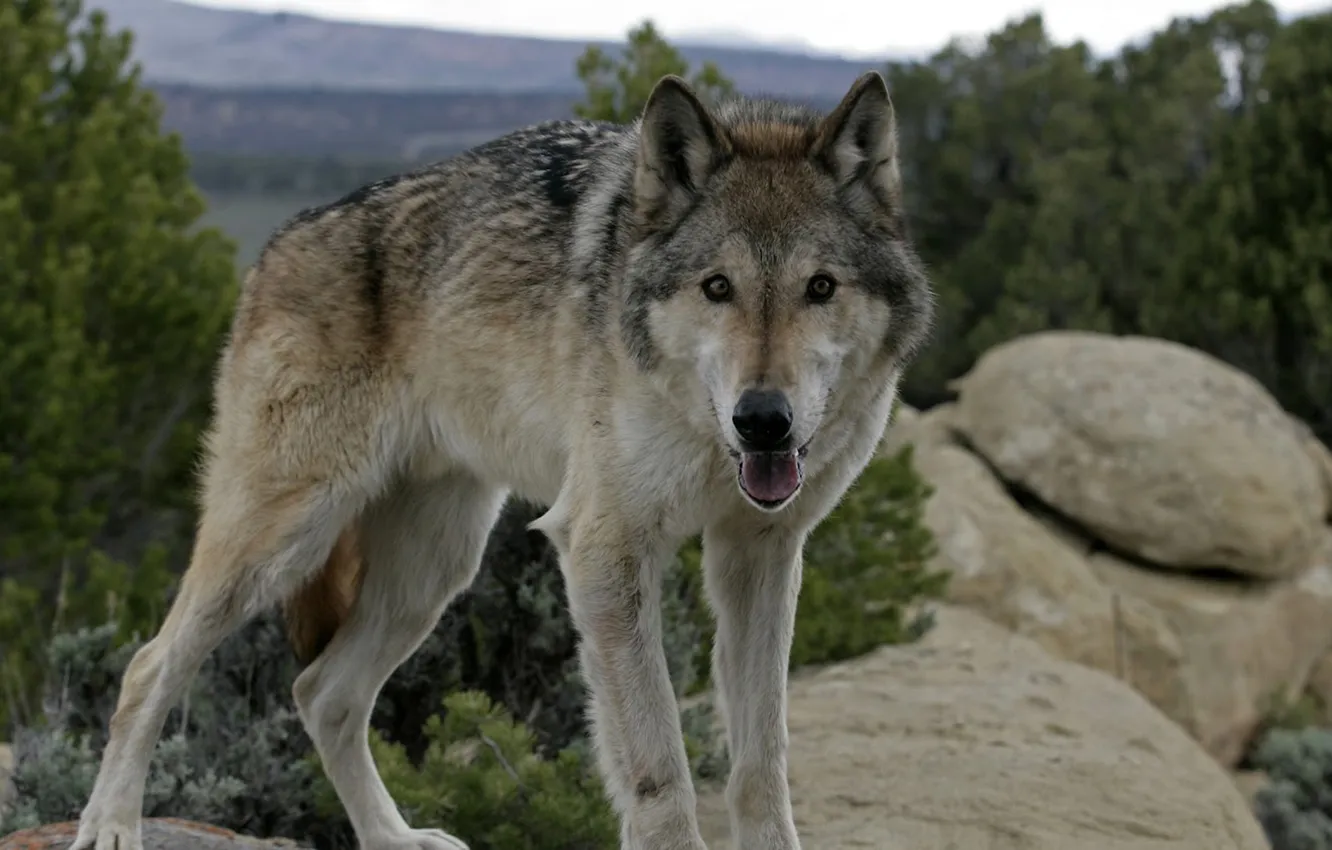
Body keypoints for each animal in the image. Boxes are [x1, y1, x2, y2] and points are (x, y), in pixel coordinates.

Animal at [70, 70, 933, 850]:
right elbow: (659, 774)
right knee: (147, 667)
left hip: (435, 569)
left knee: (322, 693)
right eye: (717, 287)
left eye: (820, 287)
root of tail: (273, 249)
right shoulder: (605, 548)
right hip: (282, 542)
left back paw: (394, 838)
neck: (701, 429)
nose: (762, 422)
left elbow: (761, 766)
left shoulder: (761, 553)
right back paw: (111, 826)